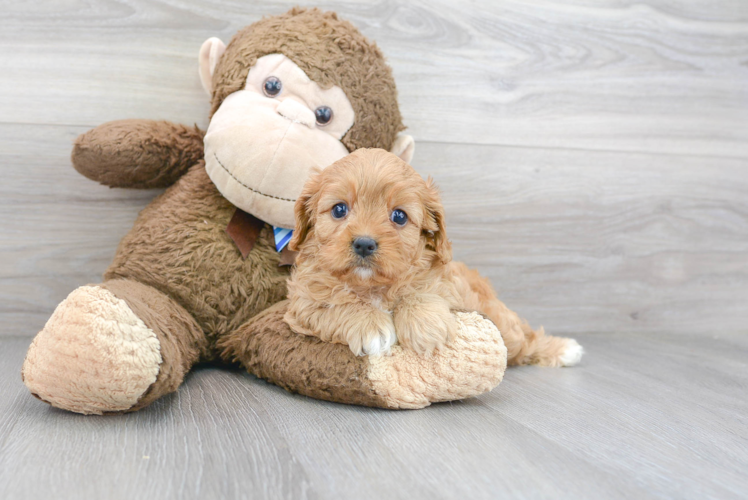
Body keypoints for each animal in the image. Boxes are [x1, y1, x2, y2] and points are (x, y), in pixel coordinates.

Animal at [284, 148, 584, 368]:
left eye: (399, 216)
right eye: (339, 210)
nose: (364, 244)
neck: (372, 286)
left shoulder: (445, 284)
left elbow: (423, 289)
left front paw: (425, 326)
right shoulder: (303, 302)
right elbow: (335, 302)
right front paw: (370, 326)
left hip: (502, 324)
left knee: (525, 340)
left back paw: (564, 349)